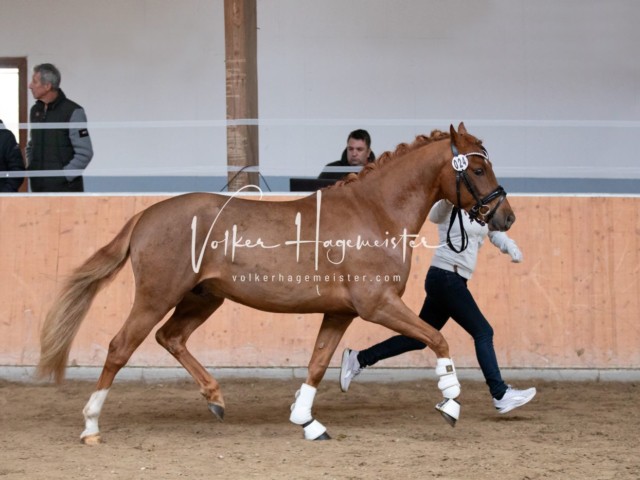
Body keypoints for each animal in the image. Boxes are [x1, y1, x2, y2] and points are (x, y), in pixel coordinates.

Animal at [36, 123, 516, 442]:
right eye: (476, 170)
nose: (506, 217)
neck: (374, 211)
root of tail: (145, 216)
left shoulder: (339, 312)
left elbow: (318, 364)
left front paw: (307, 421)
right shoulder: (377, 304)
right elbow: (437, 338)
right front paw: (450, 400)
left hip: (202, 298)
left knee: (170, 338)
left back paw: (215, 398)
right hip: (158, 296)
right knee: (121, 347)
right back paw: (91, 425)